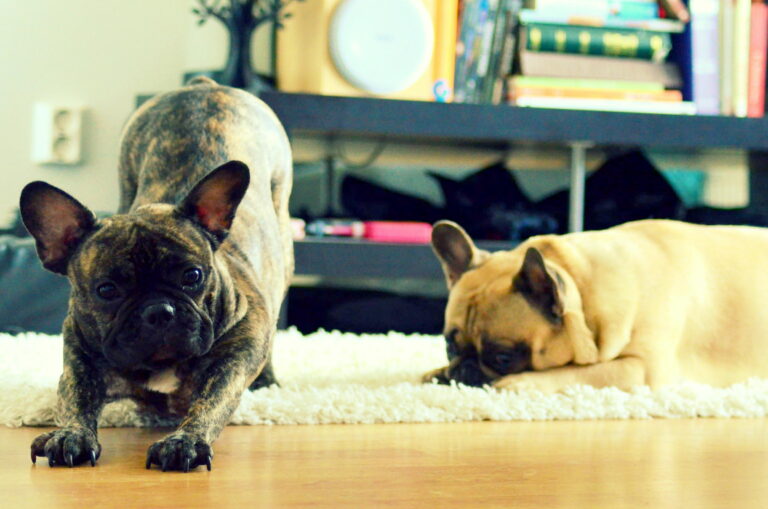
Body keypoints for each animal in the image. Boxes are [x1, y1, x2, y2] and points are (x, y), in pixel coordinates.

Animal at [21, 77, 294, 470]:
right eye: (106, 290)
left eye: (193, 276)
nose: (159, 311)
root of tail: (202, 84)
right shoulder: (80, 360)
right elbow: (74, 398)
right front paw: (71, 434)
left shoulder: (233, 360)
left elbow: (211, 402)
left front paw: (185, 441)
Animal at [426, 220, 768, 390]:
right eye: (449, 347)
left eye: (503, 357)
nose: (464, 370)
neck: (583, 285)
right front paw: (437, 373)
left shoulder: (643, 370)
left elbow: (579, 373)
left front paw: (518, 383)